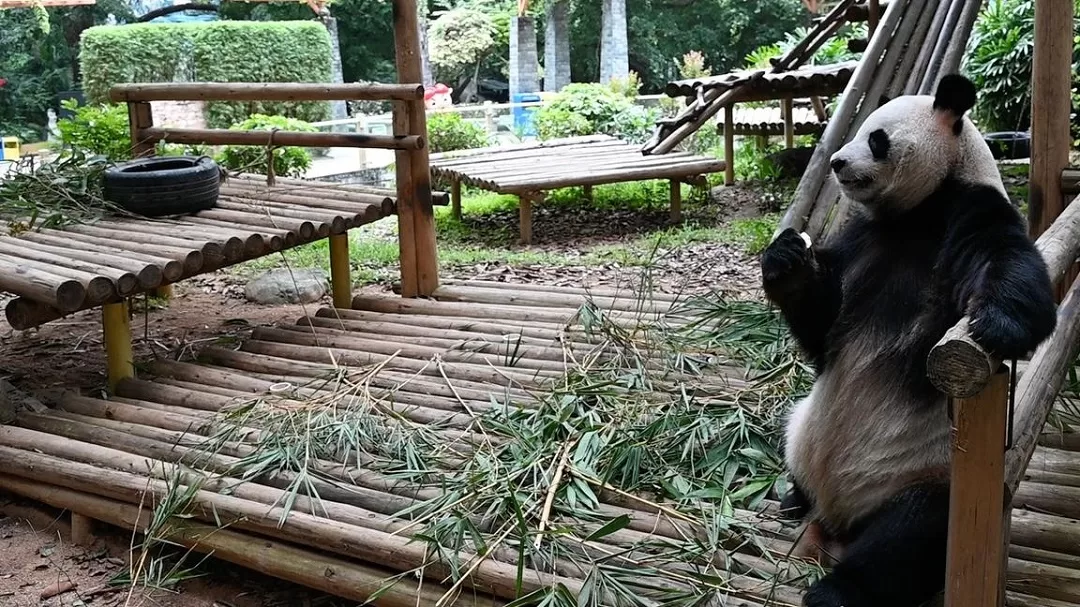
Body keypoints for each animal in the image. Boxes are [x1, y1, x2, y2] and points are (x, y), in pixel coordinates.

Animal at [760, 73, 1058, 607]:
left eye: (876, 138)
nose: (837, 162)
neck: (911, 214)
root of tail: (839, 520)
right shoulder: (861, 236)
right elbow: (823, 326)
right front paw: (787, 261)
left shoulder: (968, 209)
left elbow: (1006, 260)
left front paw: (996, 325)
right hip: (800, 431)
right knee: (794, 445)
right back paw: (795, 498)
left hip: (926, 473)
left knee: (909, 537)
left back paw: (836, 591)